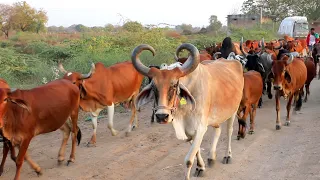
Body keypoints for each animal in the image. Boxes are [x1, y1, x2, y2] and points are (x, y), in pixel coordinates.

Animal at [131, 43, 244, 180]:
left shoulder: (200, 128)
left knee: (229, 131)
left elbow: (189, 159)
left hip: (233, 110)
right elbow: (197, 151)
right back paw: (211, 157)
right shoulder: (189, 131)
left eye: (174, 85)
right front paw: (200, 167)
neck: (183, 111)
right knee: (218, 130)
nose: (162, 116)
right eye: (153, 86)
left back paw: (227, 155)